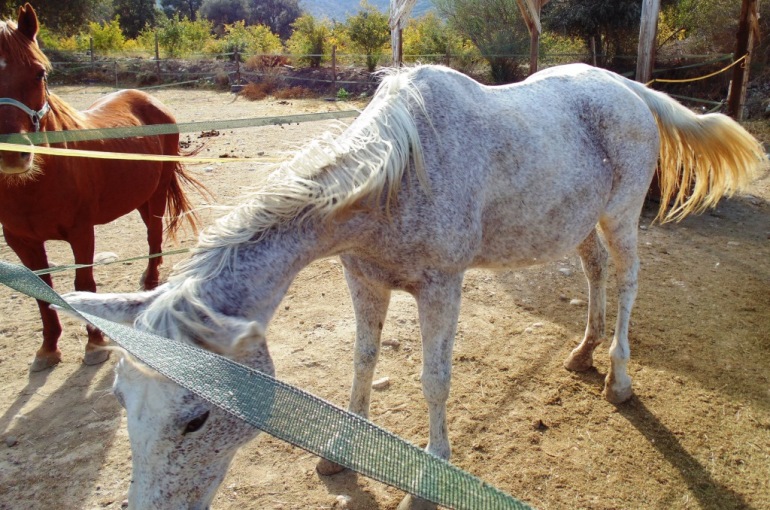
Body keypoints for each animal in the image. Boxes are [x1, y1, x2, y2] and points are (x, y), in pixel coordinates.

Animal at [0, 4, 207, 371]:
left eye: (39, 73)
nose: (12, 154)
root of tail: (149, 98)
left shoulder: (81, 231)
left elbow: (85, 283)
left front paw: (95, 343)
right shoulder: (20, 240)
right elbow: (42, 290)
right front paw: (48, 348)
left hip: (156, 193)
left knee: (154, 234)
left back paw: (149, 281)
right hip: (139, 196)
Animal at [60, 63, 765, 509]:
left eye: (196, 418)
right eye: (122, 401)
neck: (395, 176)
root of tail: (626, 87)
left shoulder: (440, 287)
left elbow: (434, 380)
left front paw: (432, 472)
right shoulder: (364, 280)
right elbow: (363, 362)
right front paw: (339, 451)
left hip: (619, 217)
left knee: (625, 281)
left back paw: (618, 377)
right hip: (576, 222)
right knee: (593, 271)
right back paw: (582, 351)